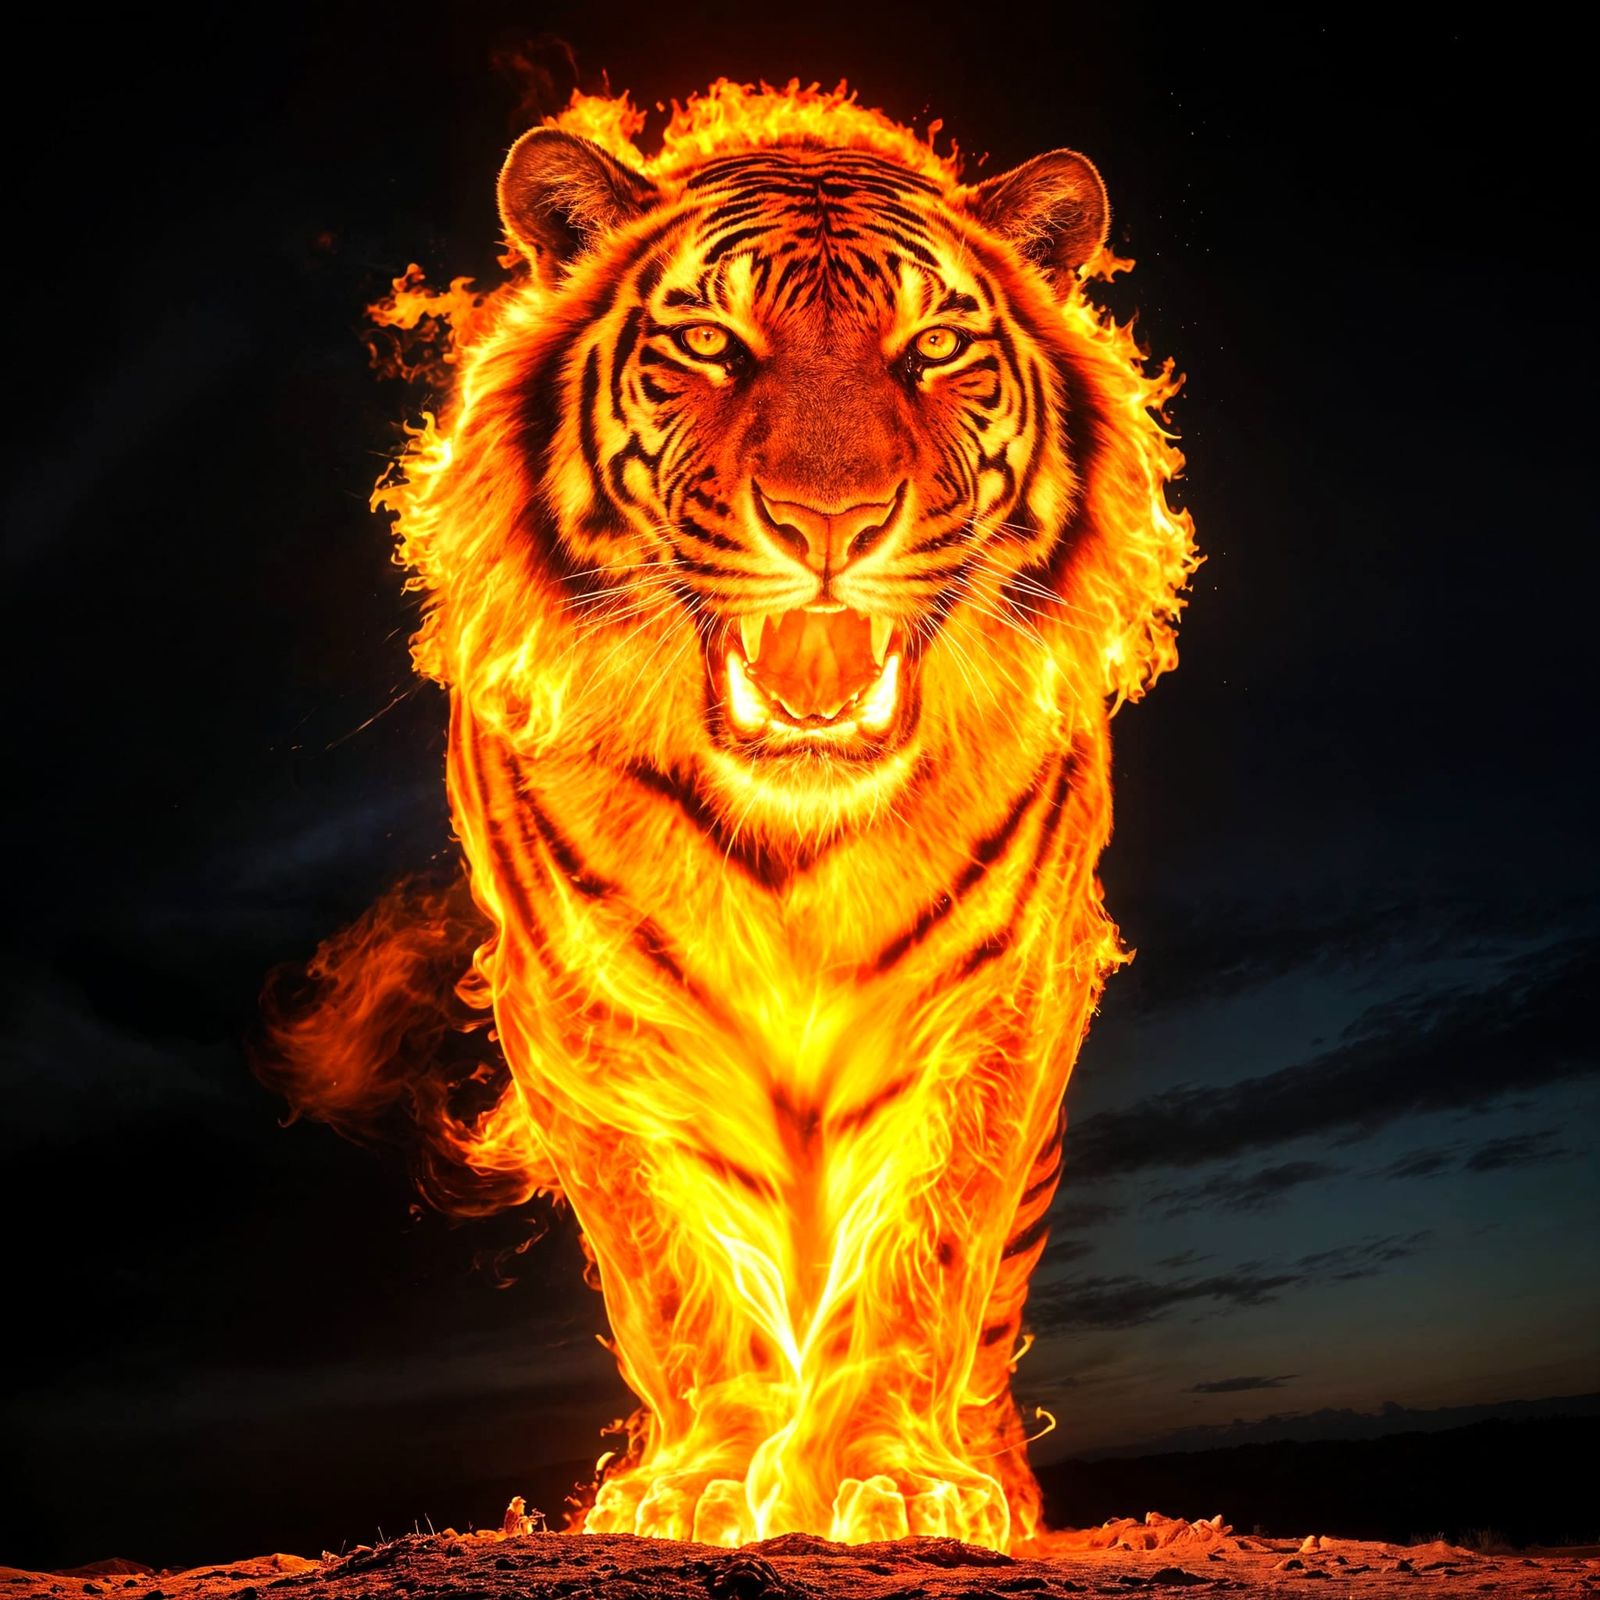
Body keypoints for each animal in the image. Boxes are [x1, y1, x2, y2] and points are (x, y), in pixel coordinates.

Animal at [263, 85, 1195, 1556]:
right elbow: (672, 1265)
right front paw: (702, 1482)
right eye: (707, 342)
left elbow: (927, 1242)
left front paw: (909, 1480)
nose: (832, 521)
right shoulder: (584, 1016)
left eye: (936, 347)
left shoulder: (1002, 998)